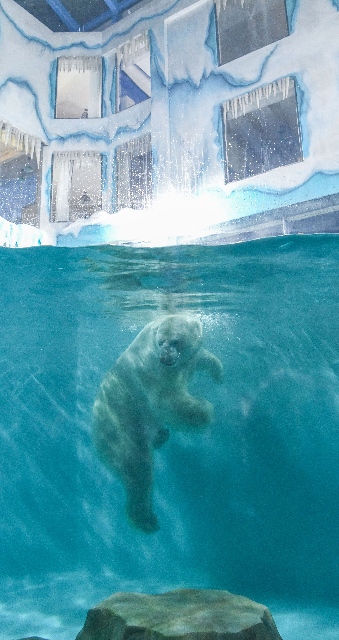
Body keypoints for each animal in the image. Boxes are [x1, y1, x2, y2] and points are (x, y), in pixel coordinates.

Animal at [94, 312, 224, 532]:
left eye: (176, 341)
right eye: (160, 341)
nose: (165, 357)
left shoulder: (187, 359)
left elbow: (204, 358)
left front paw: (219, 375)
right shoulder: (152, 371)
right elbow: (168, 402)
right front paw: (204, 411)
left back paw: (161, 436)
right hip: (123, 425)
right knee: (138, 469)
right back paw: (145, 519)